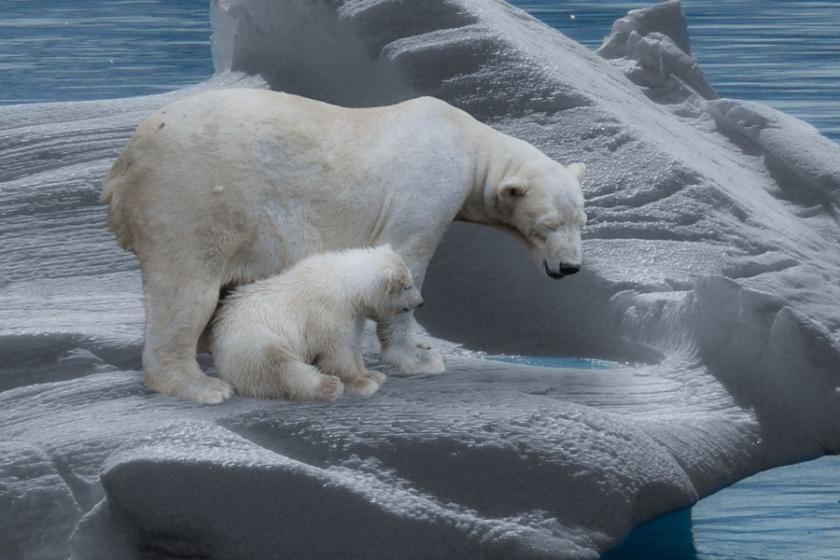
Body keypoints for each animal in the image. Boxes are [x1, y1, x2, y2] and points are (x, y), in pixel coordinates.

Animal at [103, 87, 584, 402]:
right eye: (548, 225)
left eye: (581, 221)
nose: (571, 268)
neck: (467, 143)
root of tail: (123, 165)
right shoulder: (425, 193)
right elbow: (407, 257)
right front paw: (419, 358)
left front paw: (424, 348)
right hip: (189, 197)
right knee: (187, 290)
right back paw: (200, 385)